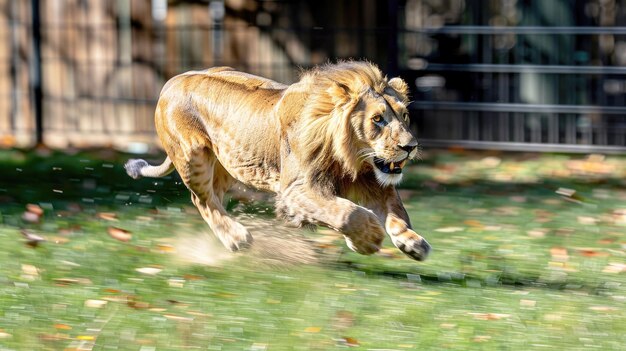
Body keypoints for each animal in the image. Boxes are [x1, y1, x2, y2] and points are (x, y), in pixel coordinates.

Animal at [127, 61, 428, 262]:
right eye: (377, 119)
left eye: (404, 116)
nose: (410, 147)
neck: (351, 158)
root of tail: (171, 81)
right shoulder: (295, 189)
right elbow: (345, 212)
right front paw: (367, 239)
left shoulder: (372, 182)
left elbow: (396, 212)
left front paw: (412, 242)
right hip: (193, 157)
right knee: (201, 200)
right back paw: (238, 238)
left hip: (225, 165)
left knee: (213, 198)